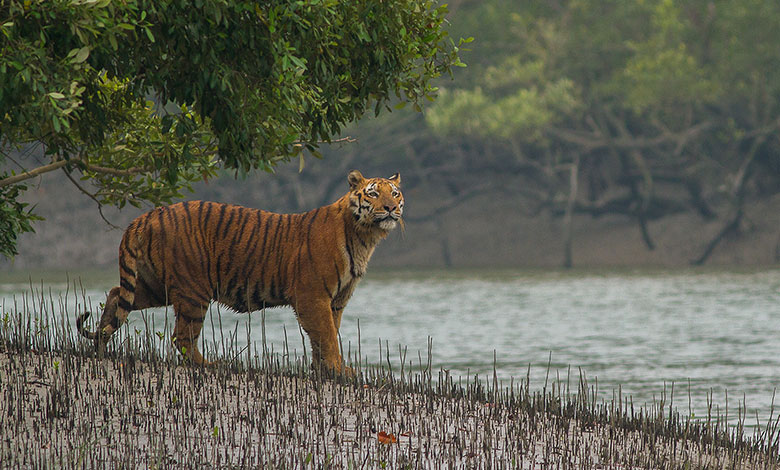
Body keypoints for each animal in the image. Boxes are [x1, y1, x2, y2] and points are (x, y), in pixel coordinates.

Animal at [77, 170, 406, 374]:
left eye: (395, 194)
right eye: (373, 194)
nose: (391, 208)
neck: (365, 236)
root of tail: (148, 215)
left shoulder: (335, 301)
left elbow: (324, 336)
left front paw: (323, 370)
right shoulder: (313, 296)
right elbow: (327, 336)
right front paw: (339, 370)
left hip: (155, 285)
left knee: (117, 295)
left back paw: (100, 346)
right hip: (193, 290)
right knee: (182, 337)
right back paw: (209, 365)